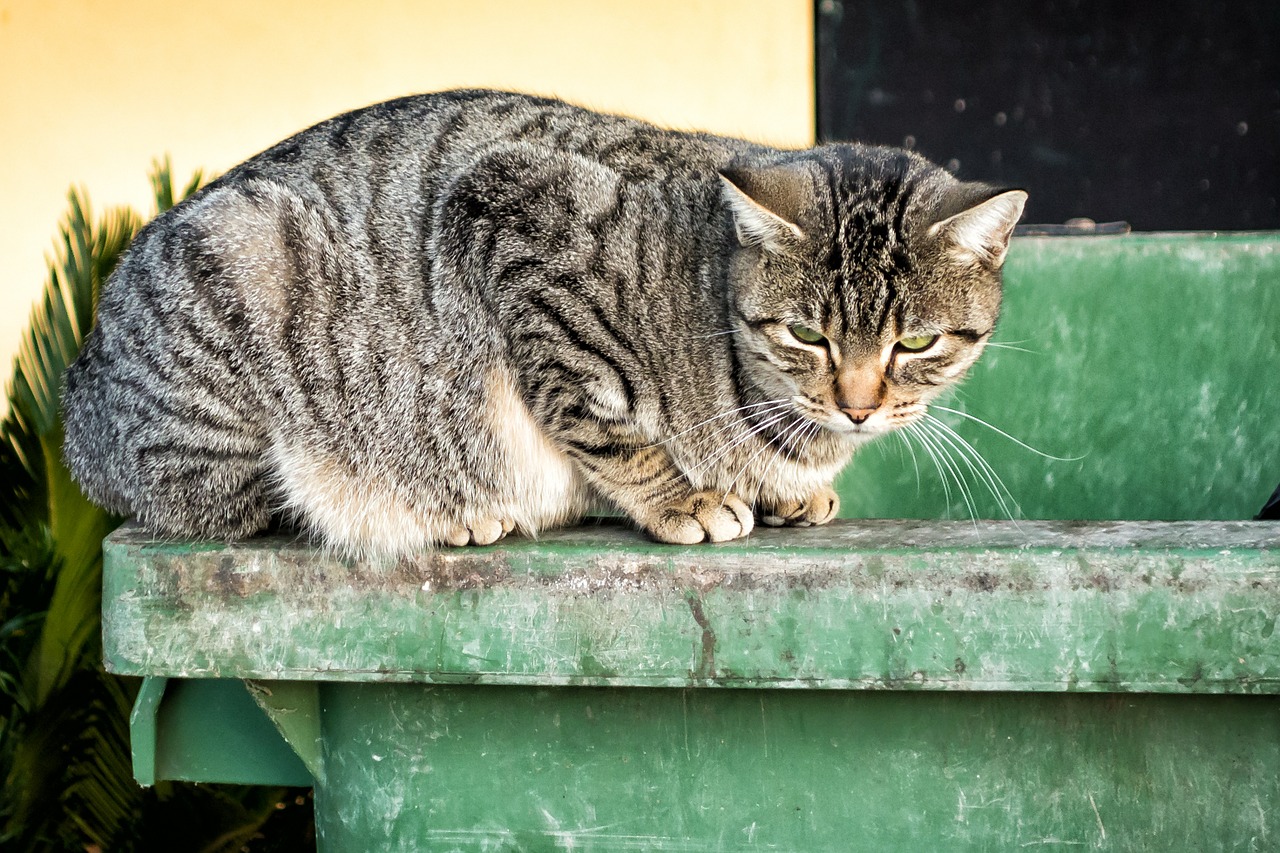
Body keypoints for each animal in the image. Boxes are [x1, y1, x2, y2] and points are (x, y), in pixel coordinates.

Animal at [60, 89, 1029, 555]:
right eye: (808, 333)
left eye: (915, 342)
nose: (858, 404)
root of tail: (77, 402)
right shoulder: (517, 222)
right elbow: (606, 424)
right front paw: (684, 496)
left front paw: (785, 490)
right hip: (247, 269)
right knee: (253, 504)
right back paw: (440, 513)